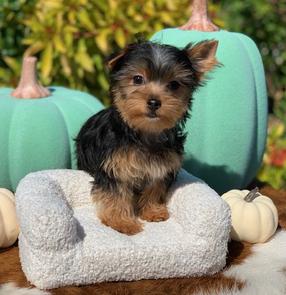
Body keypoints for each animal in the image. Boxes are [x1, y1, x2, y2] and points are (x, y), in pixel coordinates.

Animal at [75, 40, 218, 236]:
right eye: (137, 79)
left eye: (174, 84)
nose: (154, 102)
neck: (146, 132)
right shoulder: (114, 167)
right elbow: (116, 193)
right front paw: (122, 222)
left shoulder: (161, 166)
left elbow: (155, 187)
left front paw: (152, 211)